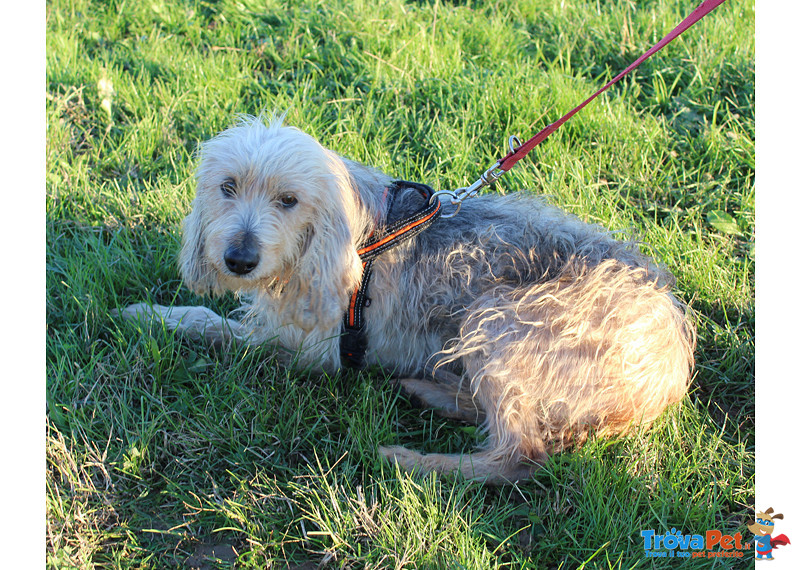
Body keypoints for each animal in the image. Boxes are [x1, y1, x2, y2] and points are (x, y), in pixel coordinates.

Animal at [117, 113, 692, 482]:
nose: (238, 259)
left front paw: (153, 314)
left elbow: (214, 323)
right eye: (227, 187)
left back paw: (413, 461)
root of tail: (669, 367)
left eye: (288, 200)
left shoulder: (314, 349)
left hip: (499, 319)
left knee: (520, 455)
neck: (348, 235)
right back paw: (427, 388)